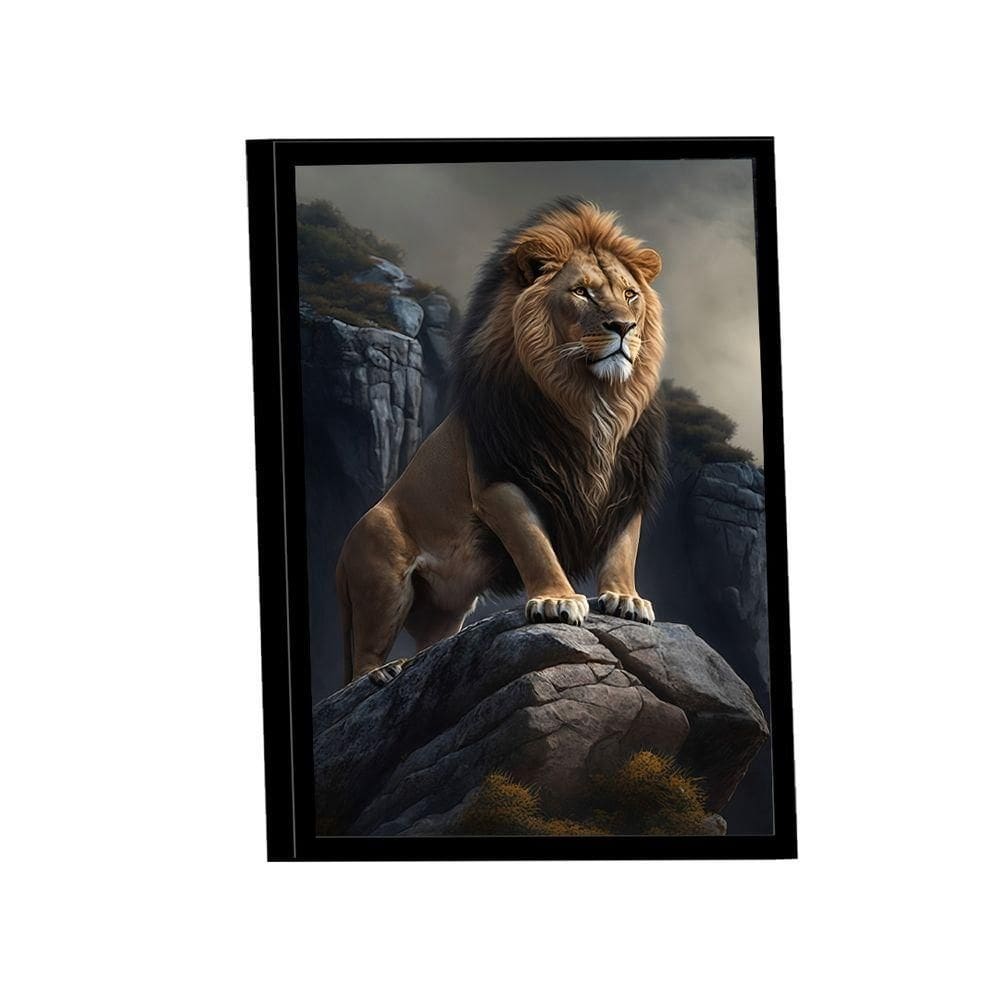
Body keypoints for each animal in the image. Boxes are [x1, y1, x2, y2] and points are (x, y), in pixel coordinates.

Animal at [336, 198, 666, 684]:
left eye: (630, 295)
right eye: (582, 292)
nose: (623, 327)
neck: (593, 401)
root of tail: (340, 559)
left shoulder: (628, 483)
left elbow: (623, 546)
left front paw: (625, 598)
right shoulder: (500, 480)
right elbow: (534, 544)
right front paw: (556, 601)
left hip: (444, 609)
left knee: (432, 646)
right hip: (383, 577)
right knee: (363, 654)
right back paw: (381, 674)